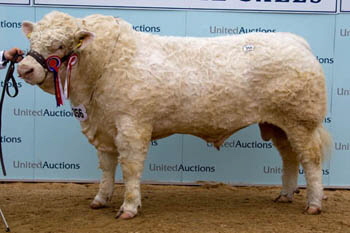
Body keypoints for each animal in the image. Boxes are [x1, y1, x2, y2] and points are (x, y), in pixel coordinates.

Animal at [18, 10, 330, 218]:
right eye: (32, 41)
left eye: (60, 45)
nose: (23, 68)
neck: (103, 67)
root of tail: (296, 41)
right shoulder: (104, 127)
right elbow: (106, 167)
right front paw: (100, 199)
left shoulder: (132, 125)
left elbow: (130, 167)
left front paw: (129, 207)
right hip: (278, 124)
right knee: (289, 158)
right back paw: (285, 195)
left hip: (301, 121)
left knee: (311, 160)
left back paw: (313, 204)